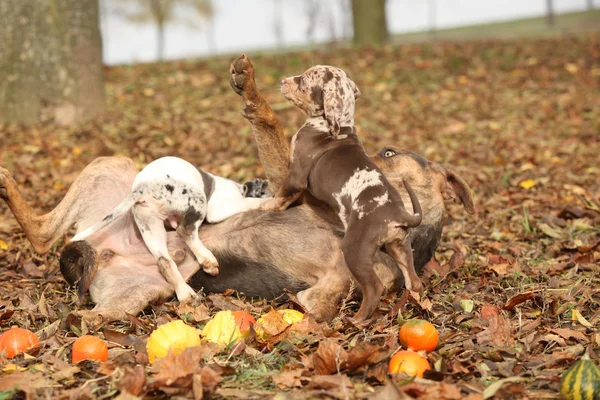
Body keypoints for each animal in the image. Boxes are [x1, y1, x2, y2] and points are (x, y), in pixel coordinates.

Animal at [70, 155, 268, 300]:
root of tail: (143, 188)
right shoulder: (219, 209)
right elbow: (249, 203)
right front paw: (267, 202)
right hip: (198, 201)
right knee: (186, 231)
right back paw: (207, 261)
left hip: (150, 227)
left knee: (164, 261)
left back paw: (185, 293)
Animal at [262, 65, 426, 322]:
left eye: (304, 81)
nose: (283, 80)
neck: (334, 127)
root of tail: (397, 213)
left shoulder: (296, 175)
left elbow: (281, 194)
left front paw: (266, 206)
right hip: (400, 246)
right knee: (414, 280)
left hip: (355, 250)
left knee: (374, 287)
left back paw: (357, 320)